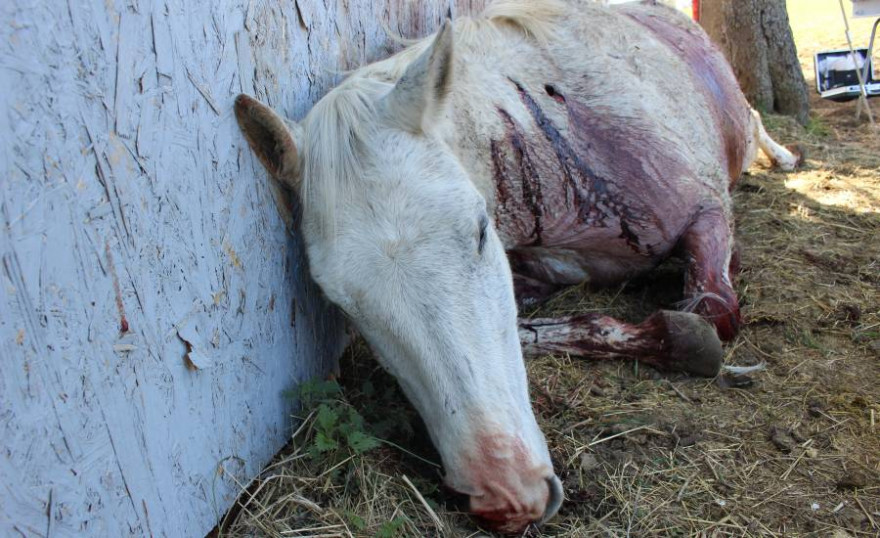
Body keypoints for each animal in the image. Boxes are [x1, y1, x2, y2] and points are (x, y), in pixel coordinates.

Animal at [237, 0, 800, 528]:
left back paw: (785, 157)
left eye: (480, 232)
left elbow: (711, 315)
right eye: (342, 302)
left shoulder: (708, 213)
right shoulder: (536, 276)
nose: (506, 496)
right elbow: (542, 327)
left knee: (755, 127)